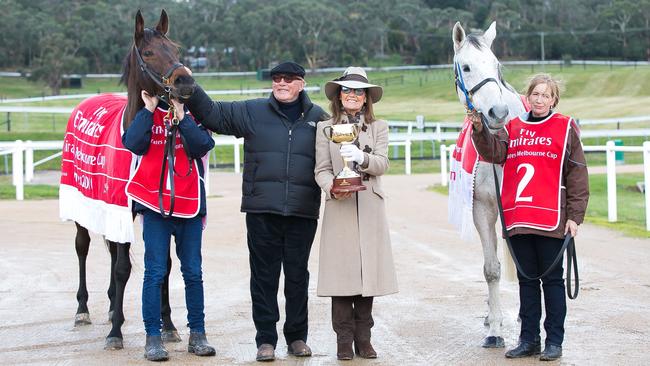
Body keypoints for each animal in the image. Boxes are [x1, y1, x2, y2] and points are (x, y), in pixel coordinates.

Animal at [60, 10, 195, 350]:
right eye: (147, 52)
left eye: (174, 48)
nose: (185, 81)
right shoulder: (118, 207)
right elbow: (123, 268)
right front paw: (115, 333)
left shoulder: (154, 210)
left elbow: (163, 266)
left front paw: (168, 325)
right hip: (84, 206)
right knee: (82, 246)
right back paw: (83, 310)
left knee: (110, 249)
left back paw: (111, 306)